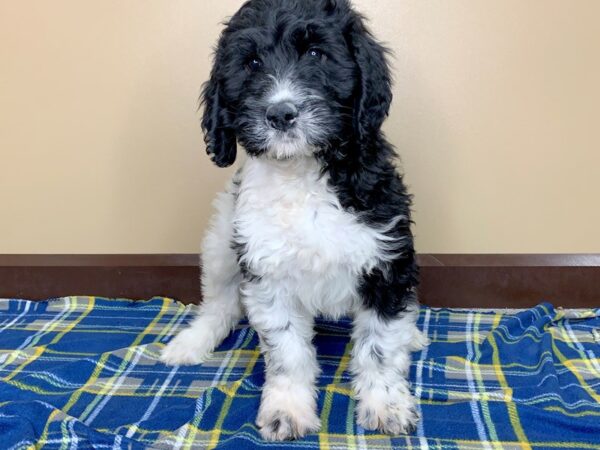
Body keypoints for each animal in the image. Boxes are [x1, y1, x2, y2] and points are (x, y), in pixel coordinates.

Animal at [162, 0, 428, 442]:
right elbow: (288, 351)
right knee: (220, 304)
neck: (302, 174)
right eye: (251, 64)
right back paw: (190, 343)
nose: (281, 113)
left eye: (316, 54)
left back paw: (414, 335)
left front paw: (385, 405)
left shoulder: (386, 264)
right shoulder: (268, 275)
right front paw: (286, 410)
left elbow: (380, 345)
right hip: (221, 242)